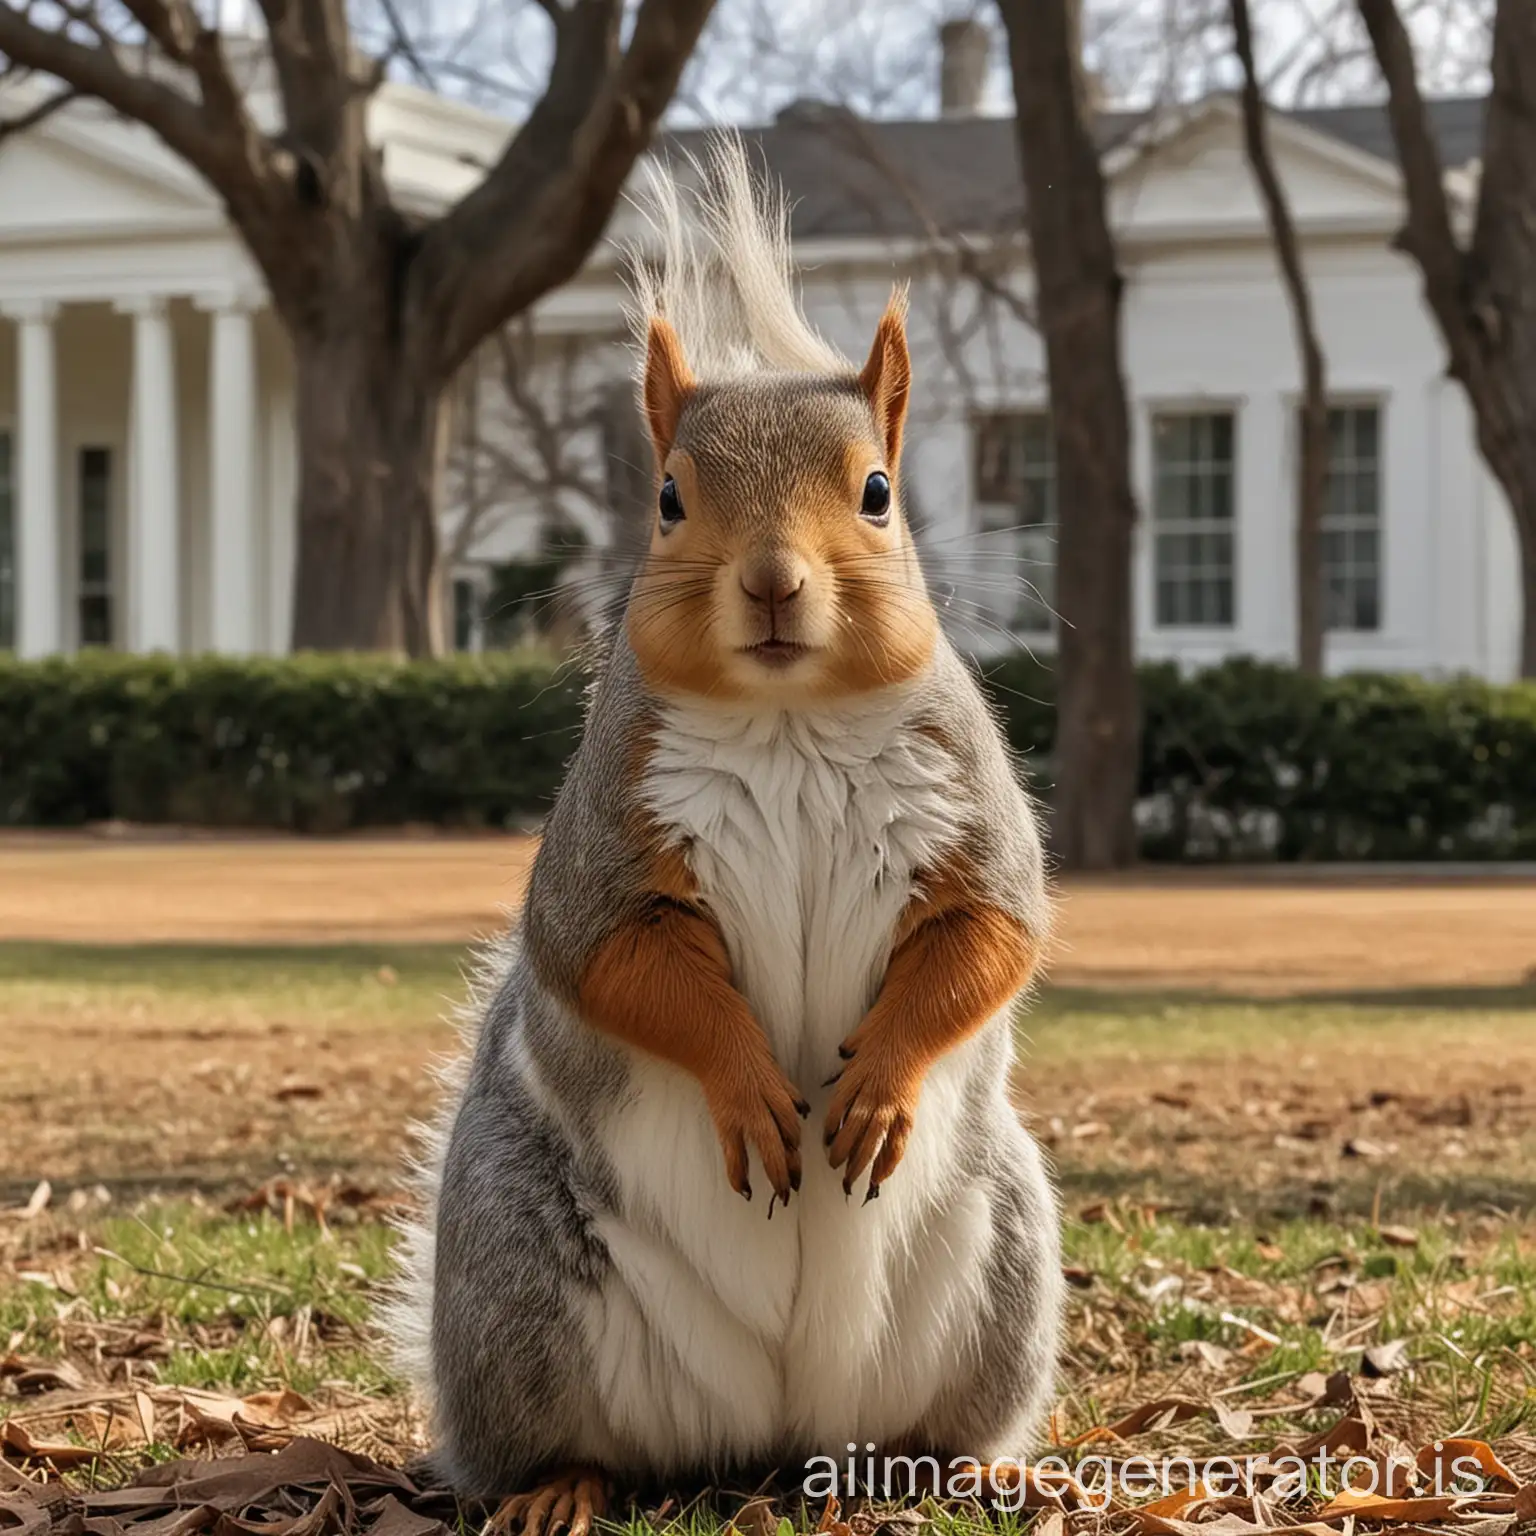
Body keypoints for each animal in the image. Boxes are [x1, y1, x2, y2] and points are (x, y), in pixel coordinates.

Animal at [396, 138, 1062, 1529]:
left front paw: (874, 1086)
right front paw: (751, 1086)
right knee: (552, 1436)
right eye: (666, 499)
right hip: (516, 1288)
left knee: (944, 1415)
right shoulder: (603, 852)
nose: (770, 581)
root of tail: (768, 1424)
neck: (788, 722)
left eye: (878, 493)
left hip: (1003, 1260)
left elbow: (990, 936)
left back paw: (971, 1469)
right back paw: (557, 1486)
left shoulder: (971, 816)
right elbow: (618, 962)